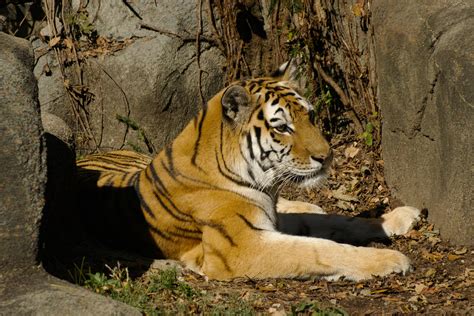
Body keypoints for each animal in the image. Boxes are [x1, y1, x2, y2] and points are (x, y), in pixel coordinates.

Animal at [78, 62, 422, 282]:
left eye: (310, 116)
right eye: (282, 127)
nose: (326, 157)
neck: (264, 184)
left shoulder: (268, 217)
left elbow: (337, 221)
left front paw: (400, 217)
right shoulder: (241, 246)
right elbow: (317, 249)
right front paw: (390, 260)